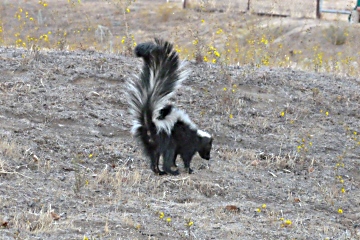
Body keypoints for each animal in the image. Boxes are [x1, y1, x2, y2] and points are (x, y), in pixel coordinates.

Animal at [126, 39, 212, 174]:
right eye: (209, 148)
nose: (208, 157)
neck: (197, 136)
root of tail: (151, 124)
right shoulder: (187, 143)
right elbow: (185, 156)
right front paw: (188, 169)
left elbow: (176, 156)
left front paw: (175, 165)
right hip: (167, 140)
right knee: (167, 155)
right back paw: (170, 171)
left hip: (150, 143)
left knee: (154, 156)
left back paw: (158, 171)